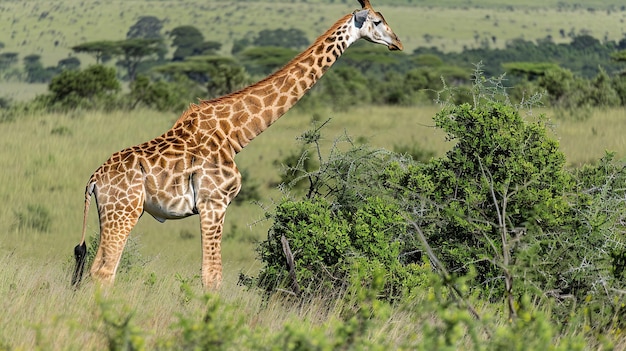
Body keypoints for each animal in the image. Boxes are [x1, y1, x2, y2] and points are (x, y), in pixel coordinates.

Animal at [70, 0, 402, 292]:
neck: (234, 134)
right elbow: (212, 275)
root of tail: (93, 180)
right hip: (122, 212)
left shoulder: (212, 205)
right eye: (376, 21)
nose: (397, 42)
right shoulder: (214, 203)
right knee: (104, 272)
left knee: (96, 268)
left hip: (120, 213)